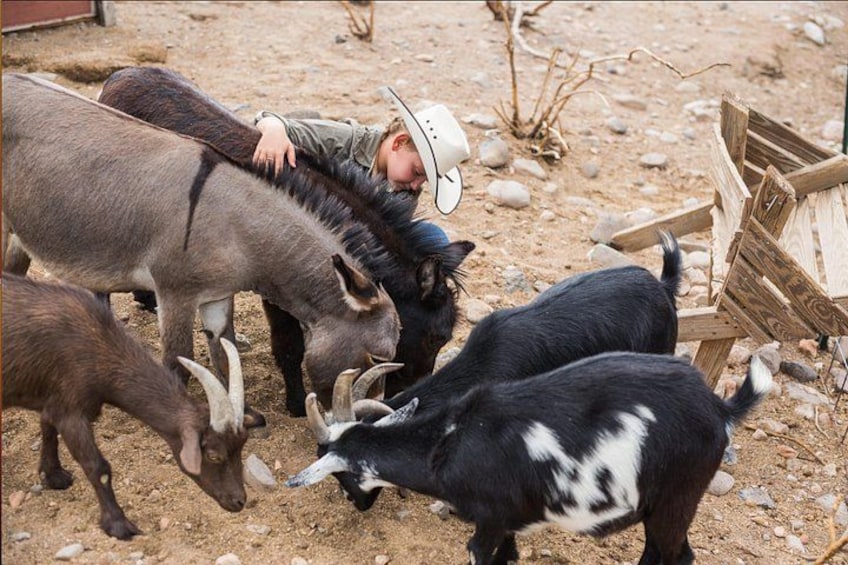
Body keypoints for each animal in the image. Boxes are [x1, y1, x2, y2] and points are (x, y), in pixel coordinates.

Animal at [1, 274, 248, 540]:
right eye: (213, 455)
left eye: (242, 445)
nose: (239, 501)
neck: (99, 349)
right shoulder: (72, 413)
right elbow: (98, 467)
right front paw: (118, 525)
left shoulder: (54, 400)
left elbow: (47, 429)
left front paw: (54, 476)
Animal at [2, 72, 402, 420]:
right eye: (378, 358)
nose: (367, 420)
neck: (236, 224)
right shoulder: (175, 295)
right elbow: (178, 364)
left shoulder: (216, 297)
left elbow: (224, 354)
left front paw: (240, 413)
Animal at [95, 66, 475, 412]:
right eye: (437, 338)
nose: (411, 399)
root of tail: (121, 75)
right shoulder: (278, 291)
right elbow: (290, 346)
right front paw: (295, 404)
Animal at [289, 353, 772, 565]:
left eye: (341, 475)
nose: (357, 504)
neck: (449, 442)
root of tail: (720, 408)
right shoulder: (509, 524)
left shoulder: (489, 519)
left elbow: (482, 556)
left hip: (675, 501)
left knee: (666, 555)